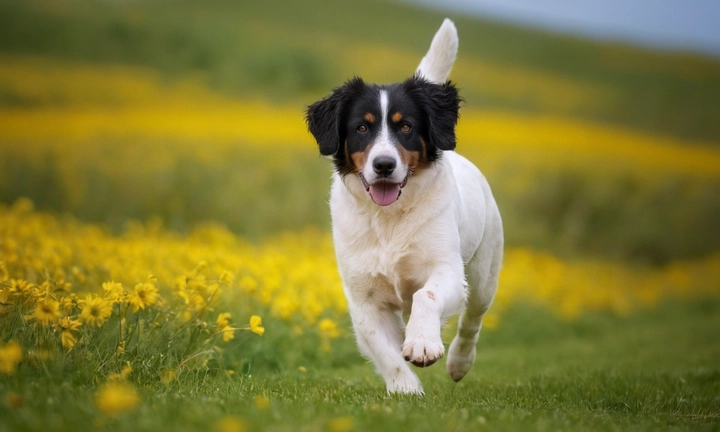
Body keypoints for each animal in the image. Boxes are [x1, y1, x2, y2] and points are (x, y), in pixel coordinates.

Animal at [306, 17, 504, 394]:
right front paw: (406, 389)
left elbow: (428, 296)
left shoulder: (447, 269)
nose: (384, 165)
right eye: (362, 127)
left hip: (483, 275)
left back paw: (459, 362)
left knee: (472, 320)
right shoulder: (363, 296)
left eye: (407, 127)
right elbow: (383, 349)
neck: (388, 219)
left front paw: (424, 344)